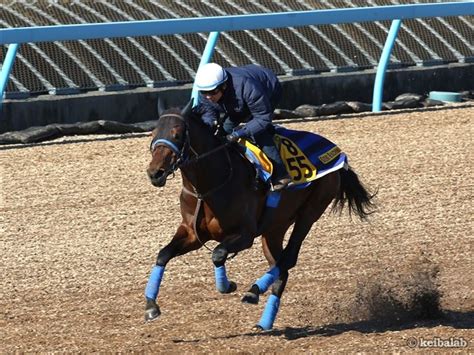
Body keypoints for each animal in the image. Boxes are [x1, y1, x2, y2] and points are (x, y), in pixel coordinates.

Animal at [144, 101, 374, 330]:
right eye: (153, 133)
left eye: (177, 134)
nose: (155, 173)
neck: (208, 187)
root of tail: (338, 153)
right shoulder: (192, 234)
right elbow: (163, 255)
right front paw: (151, 306)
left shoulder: (245, 235)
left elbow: (218, 254)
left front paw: (227, 285)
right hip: (274, 228)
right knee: (281, 267)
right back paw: (264, 319)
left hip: (311, 211)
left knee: (288, 259)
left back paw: (253, 291)